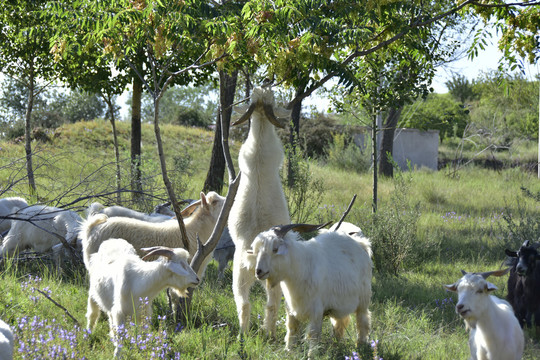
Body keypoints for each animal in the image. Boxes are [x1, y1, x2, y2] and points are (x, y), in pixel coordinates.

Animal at [227, 87, 292, 338]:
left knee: (243, 303)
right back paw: (270, 333)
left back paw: (242, 334)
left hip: (240, 274)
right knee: (272, 303)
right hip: (271, 275)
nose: (265, 84)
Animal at [248, 224, 372, 352]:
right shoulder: (291, 309)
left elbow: (313, 335)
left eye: (275, 249)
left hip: (364, 298)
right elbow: (292, 329)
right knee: (340, 322)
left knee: (363, 320)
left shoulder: (316, 311)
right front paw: (289, 350)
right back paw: (335, 343)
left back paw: (361, 344)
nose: (258, 271)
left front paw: (312, 354)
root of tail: (362, 244)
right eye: (257, 251)